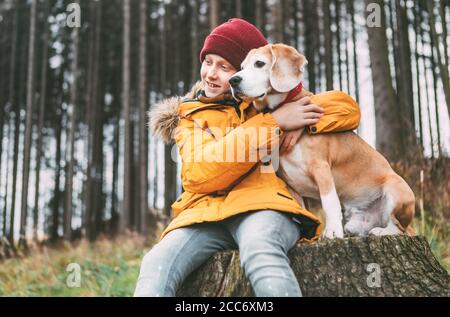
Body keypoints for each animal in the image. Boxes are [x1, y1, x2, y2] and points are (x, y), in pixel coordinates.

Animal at [229, 43, 414, 237]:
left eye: (259, 63)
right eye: (242, 66)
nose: (233, 81)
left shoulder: (321, 168)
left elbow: (329, 203)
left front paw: (332, 231)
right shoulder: (291, 184)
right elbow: (302, 209)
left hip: (396, 187)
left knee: (401, 228)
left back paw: (380, 231)